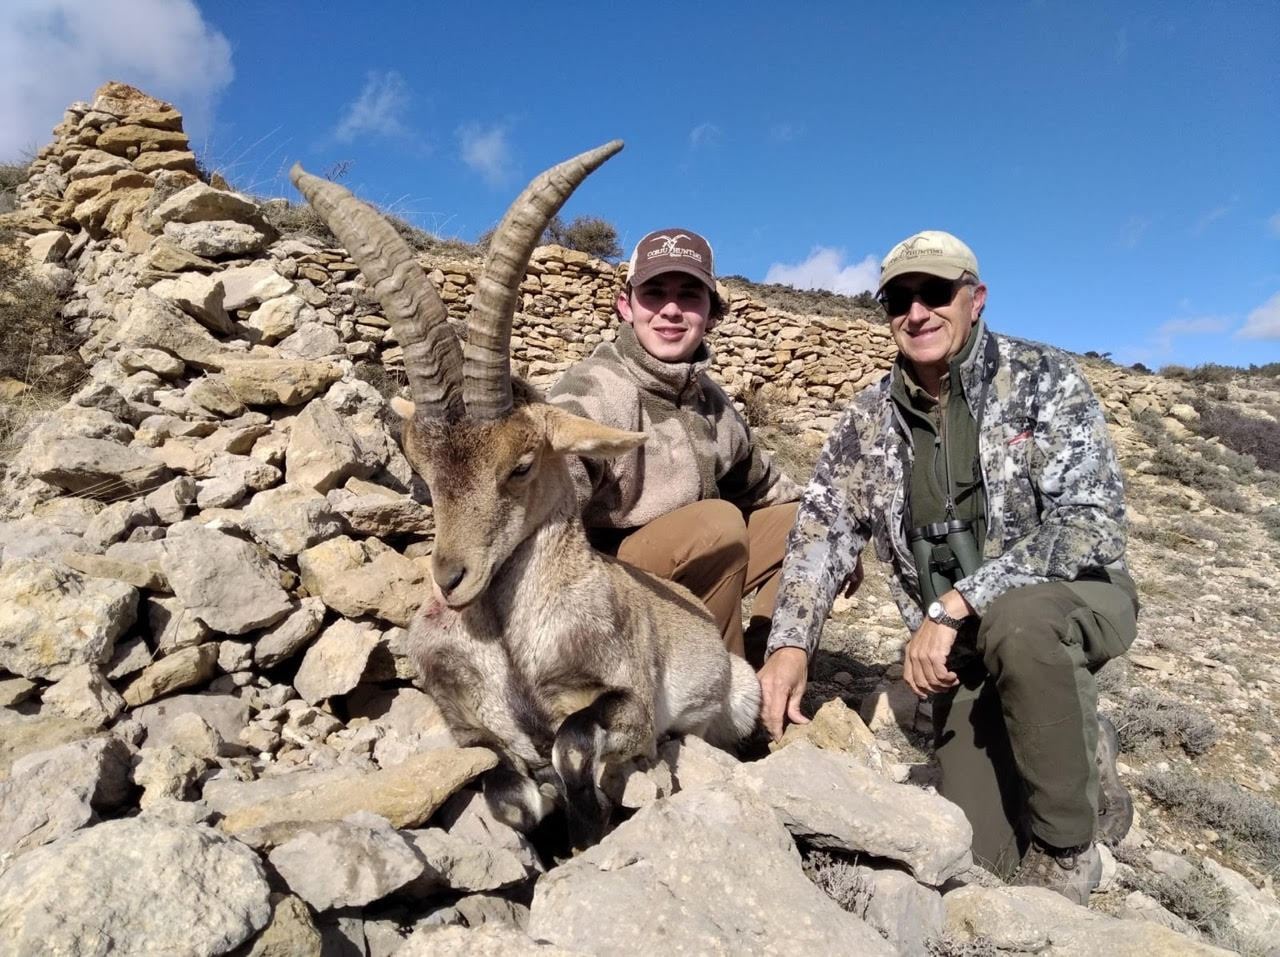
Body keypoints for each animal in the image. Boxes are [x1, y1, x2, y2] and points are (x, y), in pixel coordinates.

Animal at [290, 142, 760, 848]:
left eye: (520, 466)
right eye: (421, 467)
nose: (451, 580)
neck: (509, 645)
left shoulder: (626, 701)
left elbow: (573, 741)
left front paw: (587, 832)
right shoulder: (468, 727)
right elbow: (501, 784)